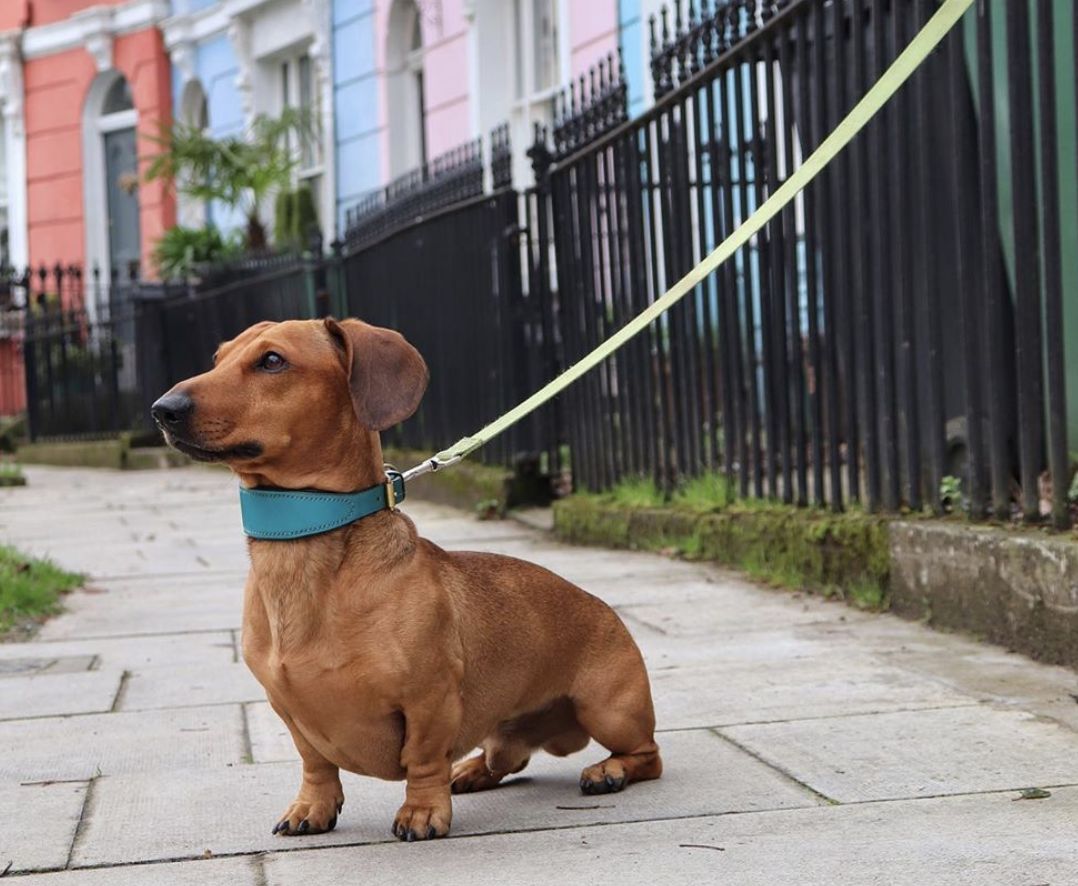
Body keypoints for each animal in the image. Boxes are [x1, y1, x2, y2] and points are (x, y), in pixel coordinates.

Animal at [149, 321, 655, 845]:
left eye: (272, 361)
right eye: (218, 357)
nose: (163, 409)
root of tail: (603, 607)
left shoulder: (429, 700)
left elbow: (424, 760)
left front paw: (423, 811)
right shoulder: (288, 709)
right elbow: (315, 763)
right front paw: (312, 807)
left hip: (609, 711)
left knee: (648, 756)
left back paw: (608, 771)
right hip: (508, 732)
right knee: (506, 759)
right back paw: (472, 769)